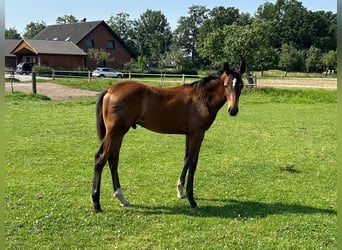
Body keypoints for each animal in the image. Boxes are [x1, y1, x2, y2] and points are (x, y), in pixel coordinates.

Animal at [92, 61, 244, 212]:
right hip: (114, 132)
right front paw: (191, 200)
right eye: (226, 85)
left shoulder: (189, 134)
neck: (202, 98)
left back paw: (121, 198)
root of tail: (110, 90)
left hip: (119, 133)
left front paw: (180, 191)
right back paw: (97, 203)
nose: (233, 110)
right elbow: (193, 163)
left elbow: (186, 159)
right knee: (101, 159)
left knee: (113, 160)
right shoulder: (198, 134)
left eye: (241, 85)